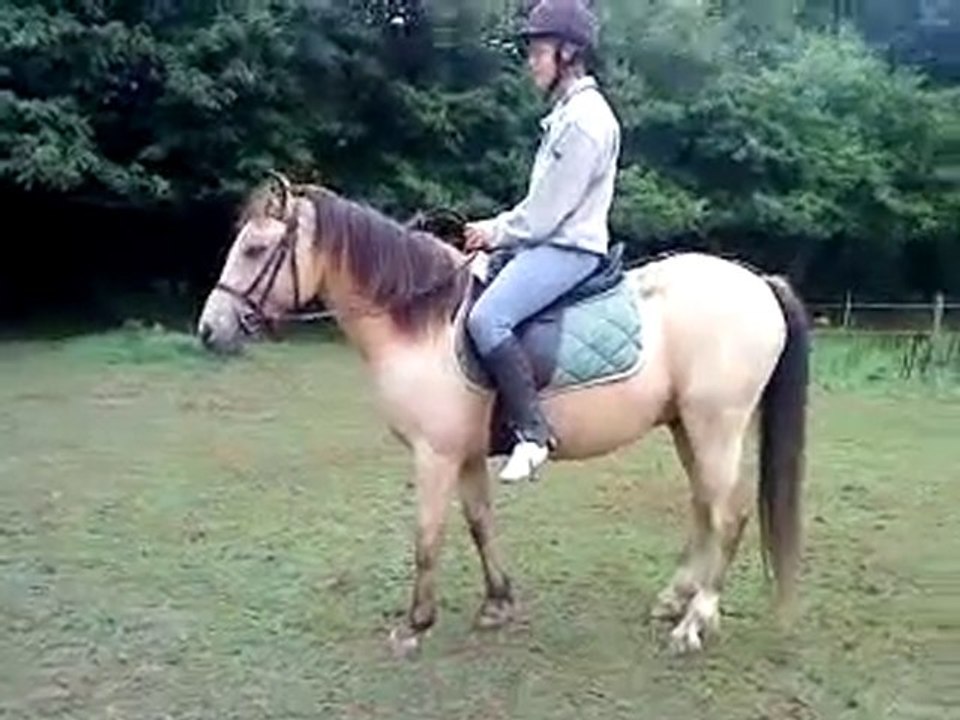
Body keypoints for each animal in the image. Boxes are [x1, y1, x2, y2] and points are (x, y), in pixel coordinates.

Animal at [196, 174, 810, 658]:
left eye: (255, 249)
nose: (209, 329)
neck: (424, 323)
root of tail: (759, 282)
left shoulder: (435, 454)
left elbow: (427, 535)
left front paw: (415, 626)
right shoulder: (463, 454)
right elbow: (479, 522)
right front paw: (497, 604)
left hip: (716, 426)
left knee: (729, 516)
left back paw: (693, 624)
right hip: (687, 426)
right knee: (705, 509)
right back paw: (673, 601)